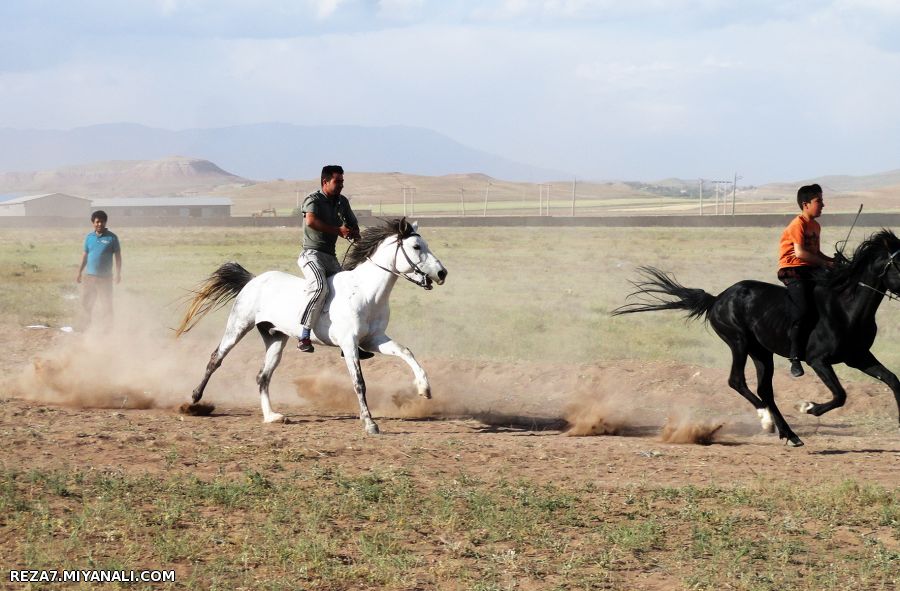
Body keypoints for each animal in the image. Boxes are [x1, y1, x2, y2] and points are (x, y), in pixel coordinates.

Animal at [174, 217, 448, 434]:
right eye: (416, 246)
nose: (442, 273)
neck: (367, 293)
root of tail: (253, 280)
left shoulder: (374, 340)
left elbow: (406, 352)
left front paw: (425, 389)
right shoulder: (349, 344)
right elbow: (359, 382)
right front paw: (370, 423)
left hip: (275, 338)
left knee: (262, 376)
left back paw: (272, 416)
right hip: (238, 326)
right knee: (216, 359)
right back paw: (194, 401)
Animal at [616, 229, 900, 446]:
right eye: (899, 263)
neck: (845, 308)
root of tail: (717, 299)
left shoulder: (859, 357)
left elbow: (893, 380)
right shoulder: (818, 360)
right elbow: (840, 395)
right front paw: (808, 407)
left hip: (762, 352)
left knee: (765, 390)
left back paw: (789, 433)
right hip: (739, 342)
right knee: (737, 381)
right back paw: (767, 421)